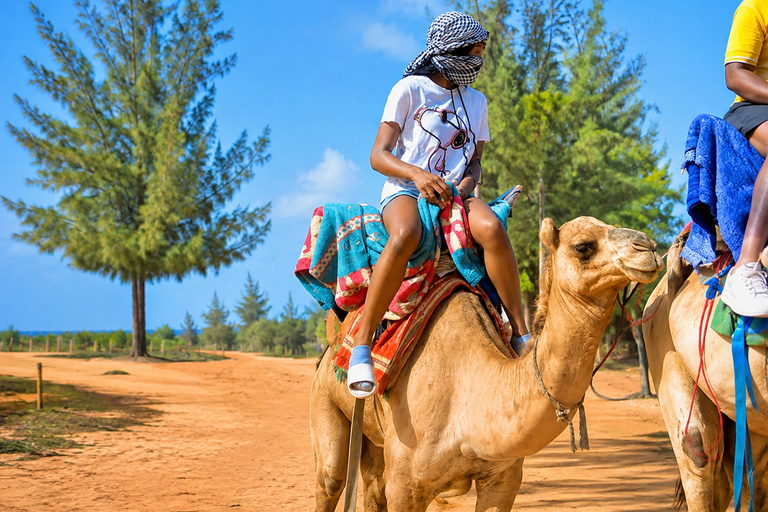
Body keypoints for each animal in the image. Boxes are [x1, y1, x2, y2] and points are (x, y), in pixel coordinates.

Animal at [310, 216, 663, 511]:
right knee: (332, 478)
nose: (649, 246)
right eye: (583, 246)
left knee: (371, 486)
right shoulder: (405, 485)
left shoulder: (503, 478)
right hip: (326, 402)